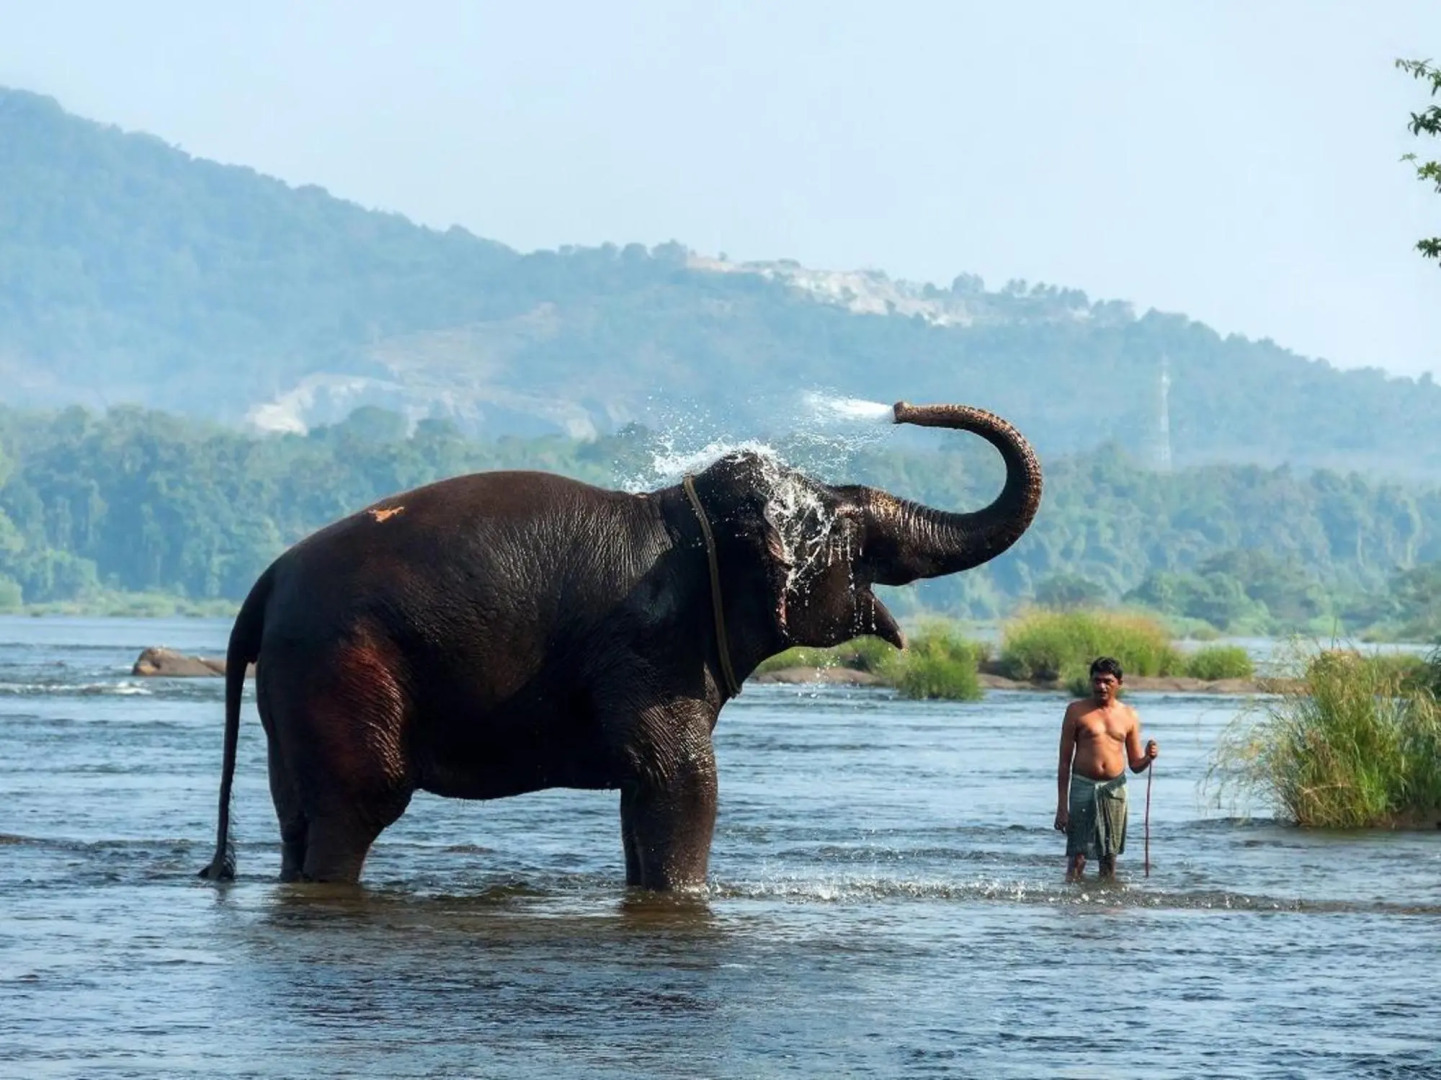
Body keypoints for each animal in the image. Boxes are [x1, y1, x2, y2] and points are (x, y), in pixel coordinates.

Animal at [198, 401, 1042, 890]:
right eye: (852, 534)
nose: (899, 408)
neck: (687, 514)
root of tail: (264, 584)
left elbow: (648, 795)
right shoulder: (647, 648)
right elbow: (684, 780)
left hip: (296, 687)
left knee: (298, 817)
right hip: (342, 668)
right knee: (357, 807)